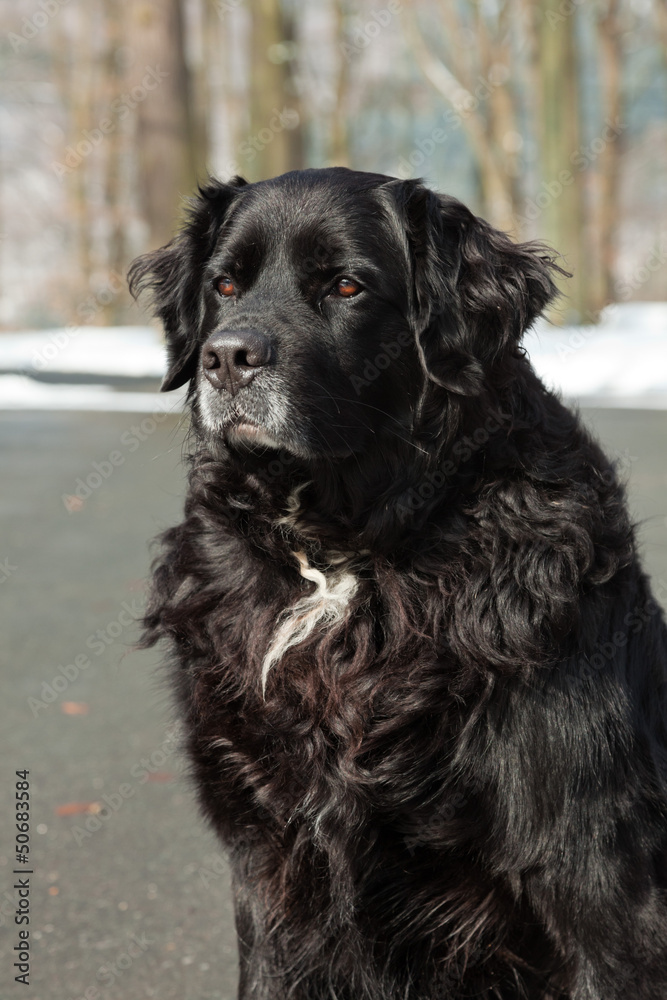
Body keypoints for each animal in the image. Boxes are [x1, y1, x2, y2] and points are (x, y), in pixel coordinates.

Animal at [129, 168, 667, 996]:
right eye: (224, 284)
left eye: (346, 286)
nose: (226, 358)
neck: (340, 559)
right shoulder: (269, 861)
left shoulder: (592, 866)